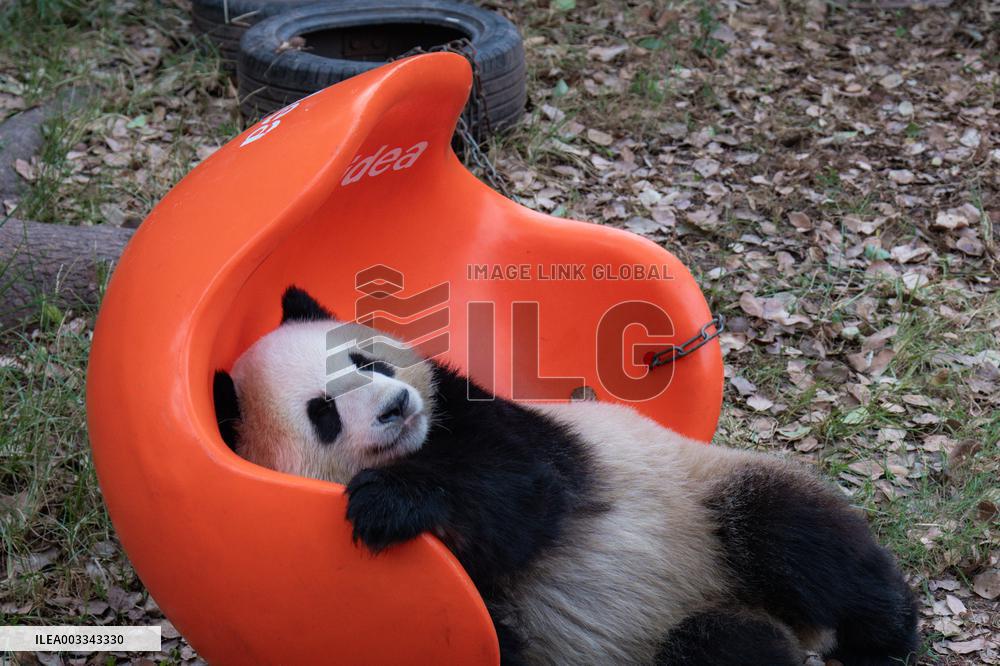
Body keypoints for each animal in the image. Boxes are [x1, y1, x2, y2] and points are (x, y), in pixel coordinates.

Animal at [213, 286, 919, 666]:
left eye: (365, 359)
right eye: (323, 412)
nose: (395, 407)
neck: (419, 445)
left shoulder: (483, 415)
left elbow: (523, 491)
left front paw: (387, 505)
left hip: (704, 500)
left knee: (796, 536)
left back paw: (883, 634)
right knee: (722, 645)